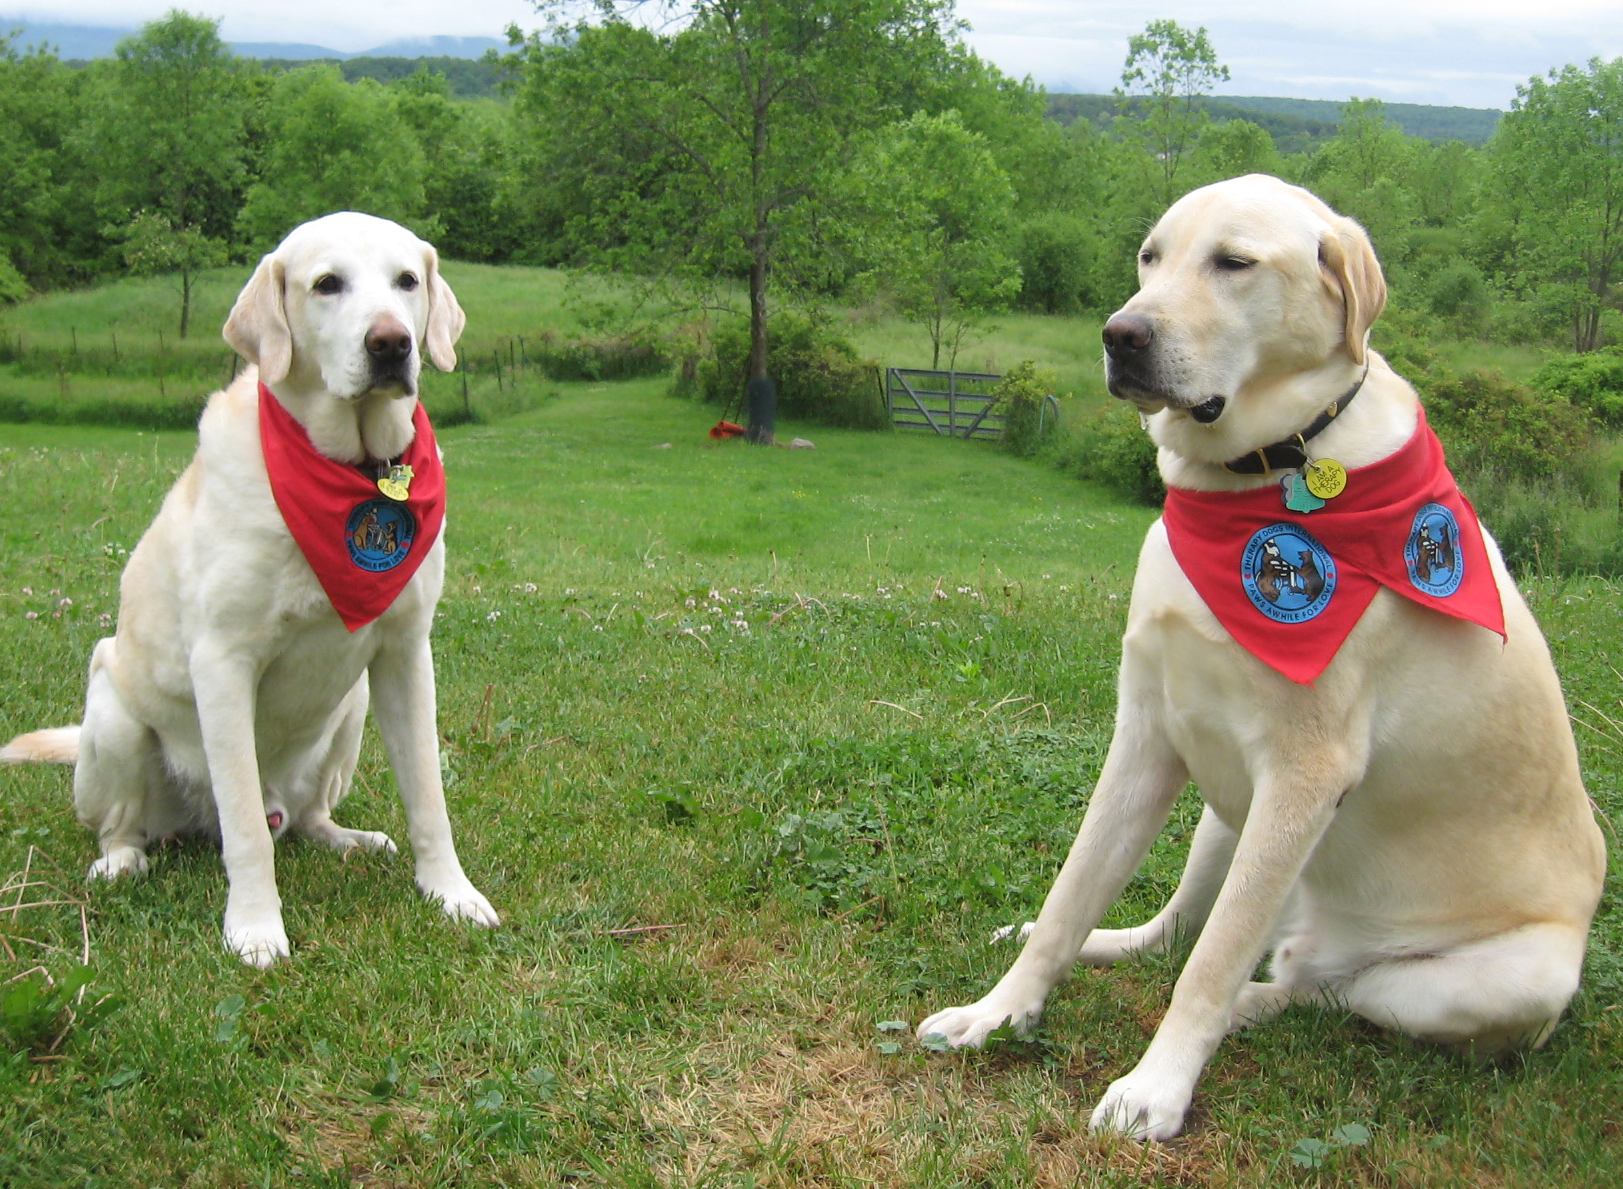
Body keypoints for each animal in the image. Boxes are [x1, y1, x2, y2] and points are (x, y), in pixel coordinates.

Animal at [3, 210, 496, 966]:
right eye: (327, 284)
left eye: (407, 280)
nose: (391, 343)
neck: (349, 466)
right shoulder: (224, 663)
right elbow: (245, 832)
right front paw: (256, 927)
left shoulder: (405, 652)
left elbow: (428, 798)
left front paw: (450, 892)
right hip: (112, 711)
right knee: (134, 825)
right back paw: (120, 861)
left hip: (351, 704)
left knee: (306, 817)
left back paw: (346, 839)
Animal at [921, 175, 1603, 1141]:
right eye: (1149, 256)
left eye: (1235, 262)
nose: (1119, 335)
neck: (1249, 477)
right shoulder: (1149, 734)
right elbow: (1072, 894)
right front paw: (1000, 1010)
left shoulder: (1304, 776)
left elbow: (1211, 966)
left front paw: (1158, 1086)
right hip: (1228, 810)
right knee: (1181, 932)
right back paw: (1117, 949)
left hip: (1500, 972)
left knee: (1316, 990)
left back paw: (1256, 1001)